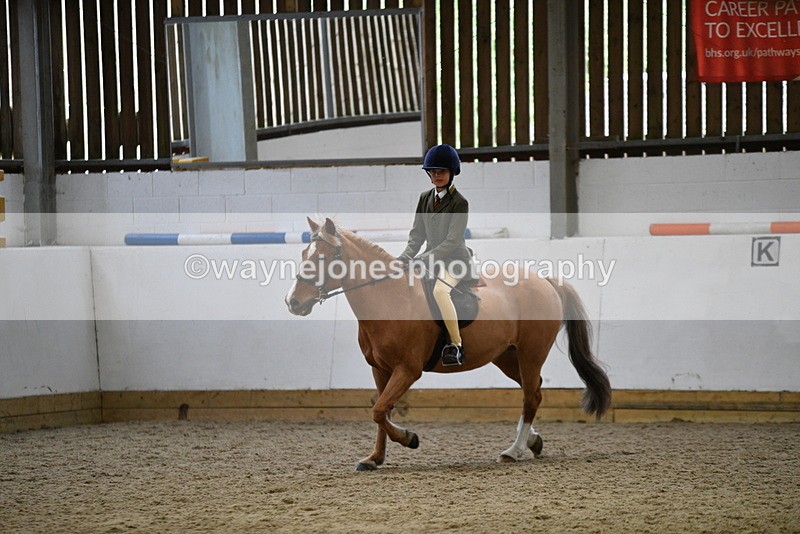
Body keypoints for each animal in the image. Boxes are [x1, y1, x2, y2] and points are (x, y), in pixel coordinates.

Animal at [285, 217, 611, 471]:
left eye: (323, 257)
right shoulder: (380, 369)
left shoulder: (407, 370)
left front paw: (410, 439)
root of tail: (545, 281)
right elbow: (381, 411)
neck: (390, 298)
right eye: (303, 253)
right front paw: (374, 458)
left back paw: (513, 451)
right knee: (534, 391)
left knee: (531, 397)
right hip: (508, 357)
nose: (293, 302)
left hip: (531, 353)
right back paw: (532, 440)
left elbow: (379, 410)